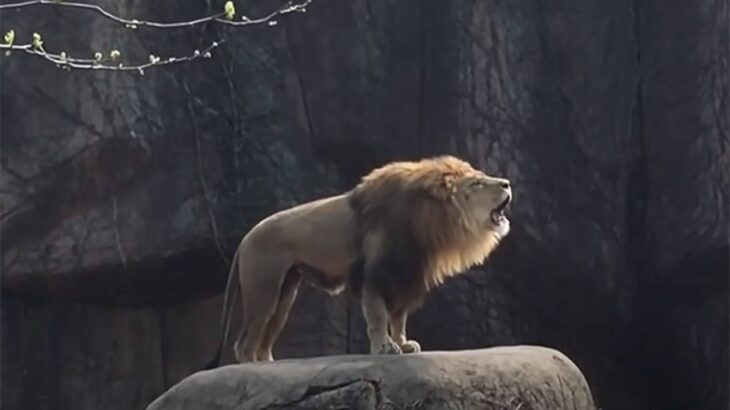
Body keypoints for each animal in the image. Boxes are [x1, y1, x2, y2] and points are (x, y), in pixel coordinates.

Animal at [203, 155, 512, 366]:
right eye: (477, 183)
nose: (507, 183)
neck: (427, 224)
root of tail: (245, 238)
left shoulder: (404, 275)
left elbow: (399, 318)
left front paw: (403, 344)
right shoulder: (376, 274)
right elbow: (378, 315)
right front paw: (385, 347)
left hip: (284, 295)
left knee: (263, 338)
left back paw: (268, 363)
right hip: (264, 290)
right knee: (244, 343)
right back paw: (252, 367)